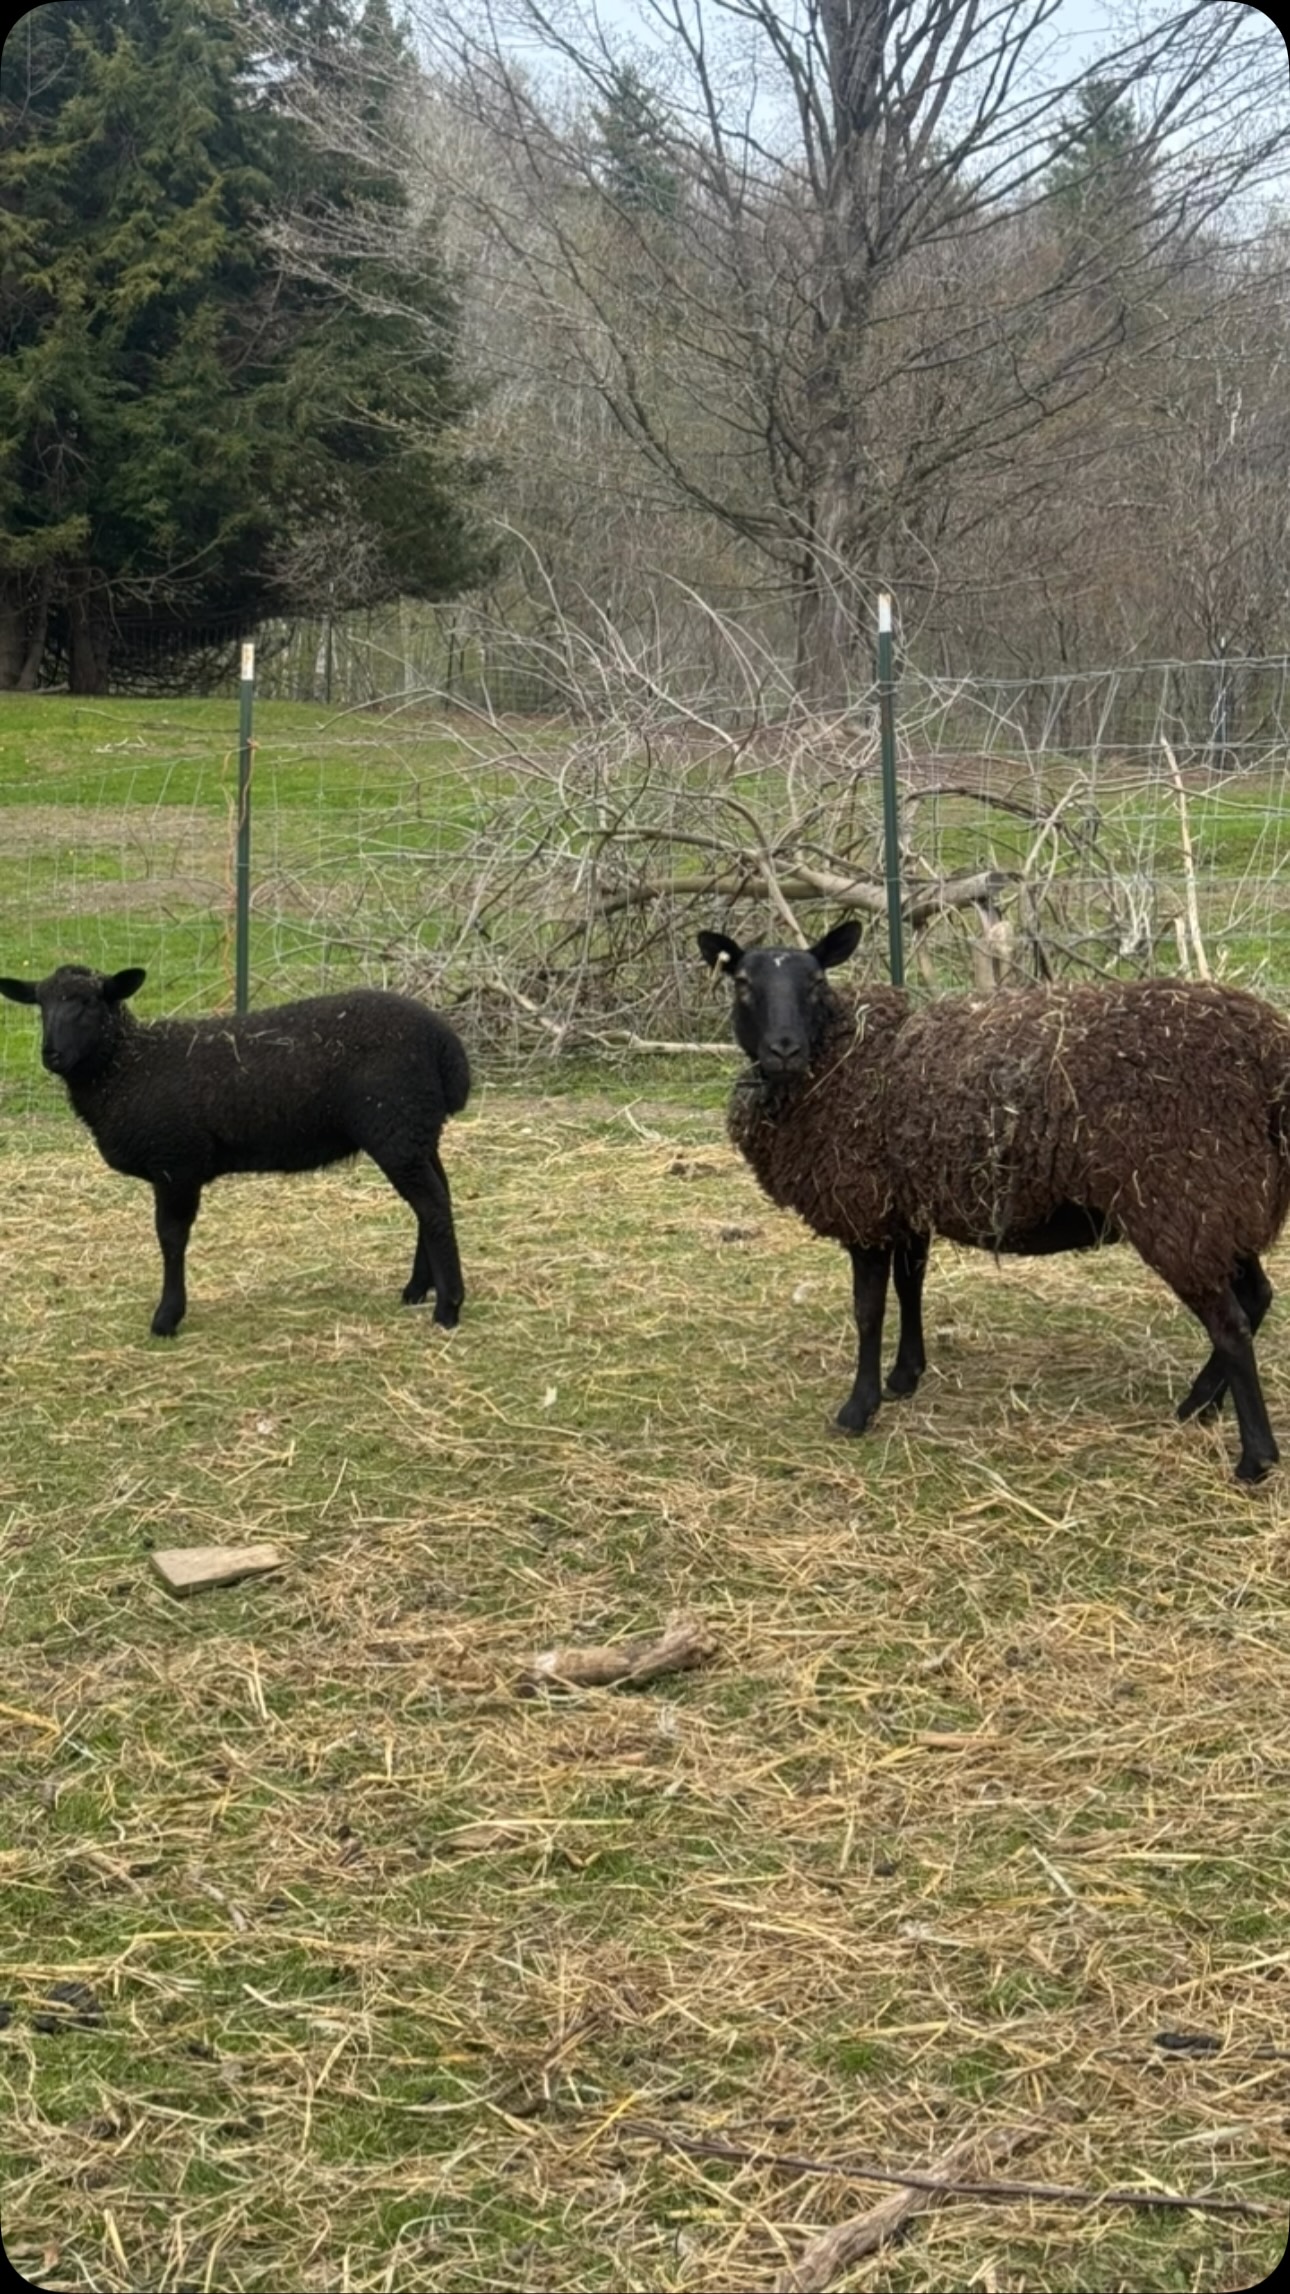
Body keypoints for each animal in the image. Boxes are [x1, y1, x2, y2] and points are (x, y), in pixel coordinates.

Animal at [0, 964, 470, 1338]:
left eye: (88, 1003)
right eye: (40, 1005)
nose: (51, 1054)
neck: (127, 1066)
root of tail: (446, 1044)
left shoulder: (176, 1162)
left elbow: (171, 1237)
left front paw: (167, 1317)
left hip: (394, 1127)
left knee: (431, 1205)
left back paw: (448, 1308)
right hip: (415, 1129)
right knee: (438, 1198)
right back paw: (416, 1290)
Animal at [697, 920, 1290, 1483]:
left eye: (816, 982)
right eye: (743, 983)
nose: (784, 1050)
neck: (840, 1057)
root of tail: (1270, 1053)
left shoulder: (865, 1211)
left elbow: (868, 1312)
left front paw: (858, 1409)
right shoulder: (907, 1207)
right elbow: (911, 1289)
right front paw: (905, 1377)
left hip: (1184, 1202)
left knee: (1232, 1325)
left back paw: (1254, 1459)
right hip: (1225, 1203)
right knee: (1256, 1296)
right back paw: (1197, 1404)